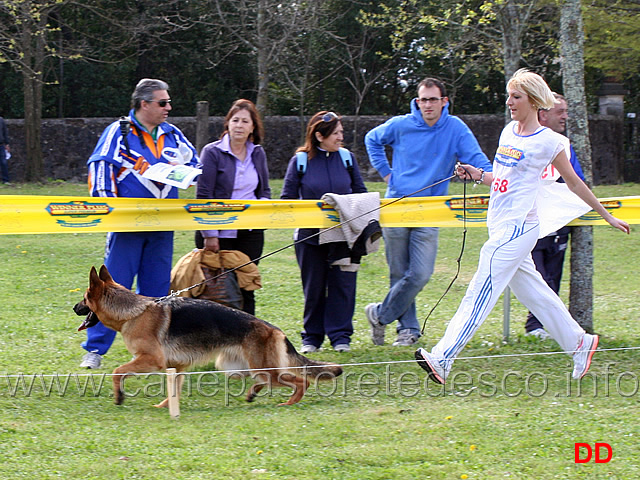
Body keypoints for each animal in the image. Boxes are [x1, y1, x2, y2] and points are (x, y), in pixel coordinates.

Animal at [72, 264, 342, 406]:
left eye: (84, 299)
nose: (74, 308)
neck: (134, 312)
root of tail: (275, 330)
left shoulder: (151, 360)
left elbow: (118, 371)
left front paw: (119, 396)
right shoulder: (176, 367)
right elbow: (174, 389)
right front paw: (167, 406)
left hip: (262, 367)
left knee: (300, 381)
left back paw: (290, 402)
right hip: (239, 366)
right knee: (264, 380)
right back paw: (253, 393)